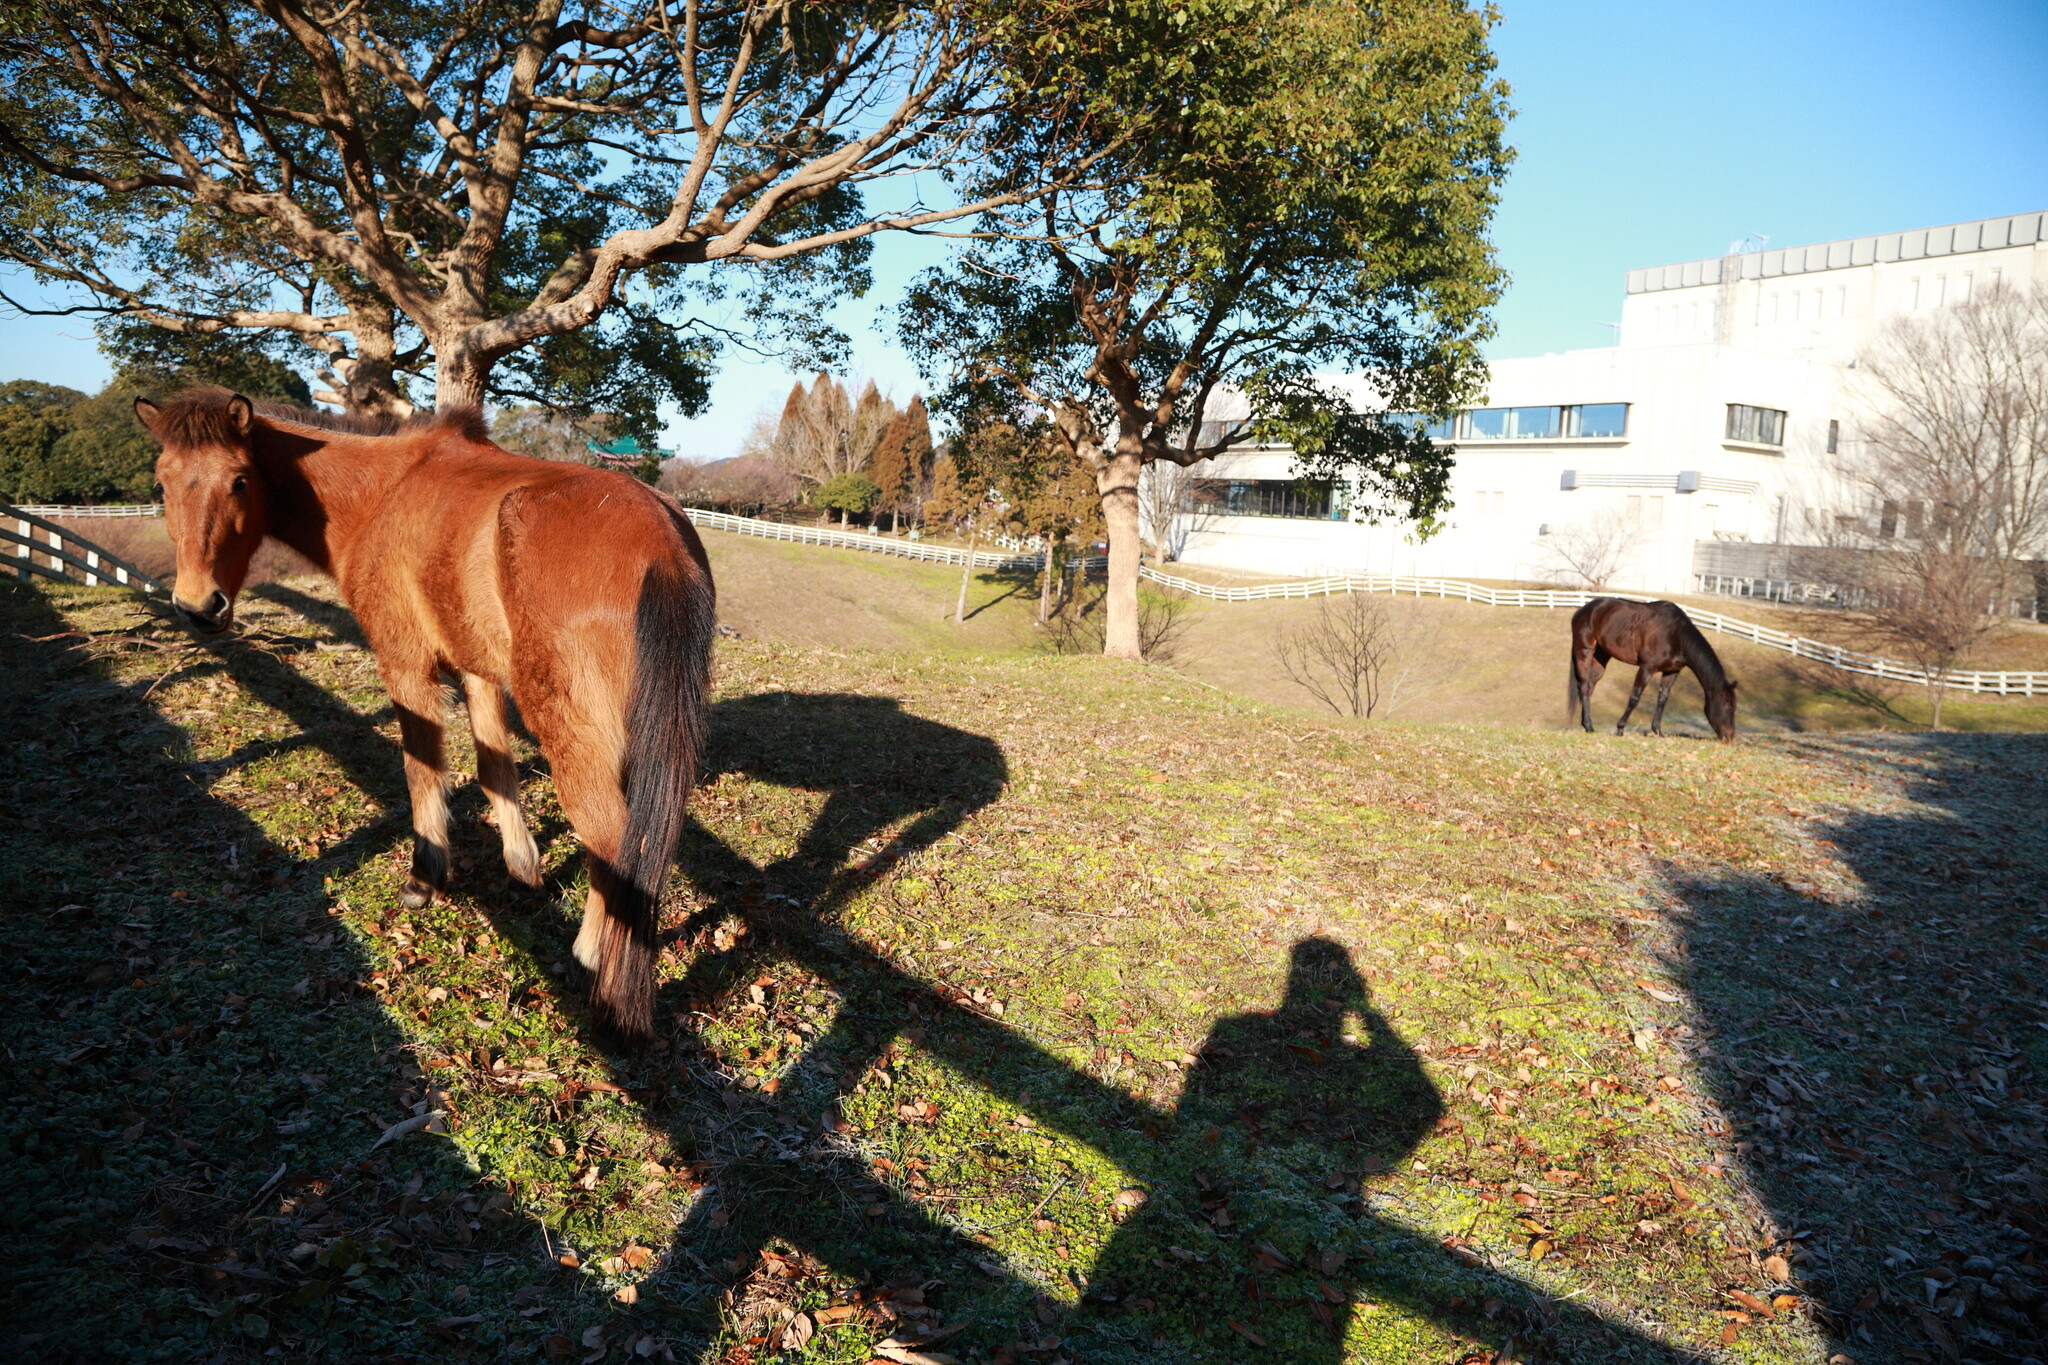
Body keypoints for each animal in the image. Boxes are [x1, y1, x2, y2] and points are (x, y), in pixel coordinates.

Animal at [134, 388, 712, 1039]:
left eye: (239, 479)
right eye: (161, 481)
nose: (197, 605)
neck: (383, 493)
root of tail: (661, 544)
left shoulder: (406, 662)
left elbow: (419, 768)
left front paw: (425, 876)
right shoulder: (477, 670)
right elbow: (495, 770)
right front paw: (523, 866)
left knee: (614, 841)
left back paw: (593, 957)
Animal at [1572, 597, 1736, 740]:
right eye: (1728, 707)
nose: (1729, 737)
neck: (1675, 635)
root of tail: (1583, 610)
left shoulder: (1671, 672)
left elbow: (1662, 699)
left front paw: (1658, 731)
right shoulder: (1646, 668)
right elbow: (1634, 698)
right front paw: (1620, 729)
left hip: (1601, 656)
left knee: (1590, 686)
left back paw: (1585, 724)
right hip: (1584, 651)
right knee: (1584, 686)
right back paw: (1589, 726)